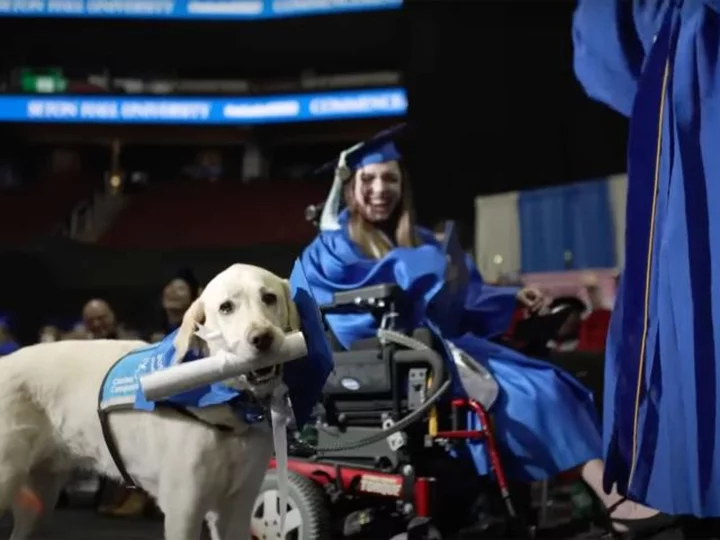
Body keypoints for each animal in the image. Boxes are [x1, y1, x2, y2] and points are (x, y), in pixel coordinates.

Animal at [0, 264, 300, 540]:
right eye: (226, 307)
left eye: (269, 297)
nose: (262, 338)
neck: (229, 405)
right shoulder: (184, 510)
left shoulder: (237, 508)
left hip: (41, 498)